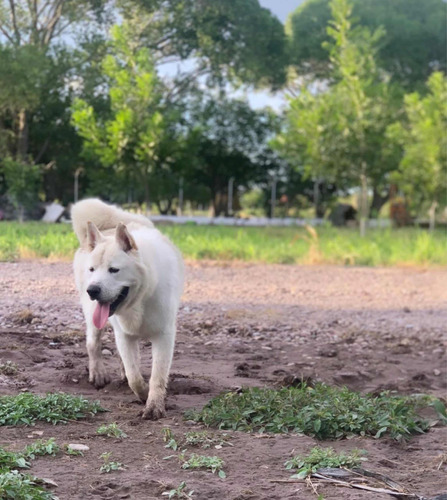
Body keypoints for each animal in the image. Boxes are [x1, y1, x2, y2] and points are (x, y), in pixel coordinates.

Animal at [72, 198, 184, 418]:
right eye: (92, 269)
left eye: (114, 270)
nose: (92, 290)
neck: (140, 299)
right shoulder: (124, 335)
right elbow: (134, 376)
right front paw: (143, 394)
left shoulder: (164, 336)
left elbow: (157, 375)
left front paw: (154, 406)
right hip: (93, 318)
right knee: (93, 343)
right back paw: (98, 373)